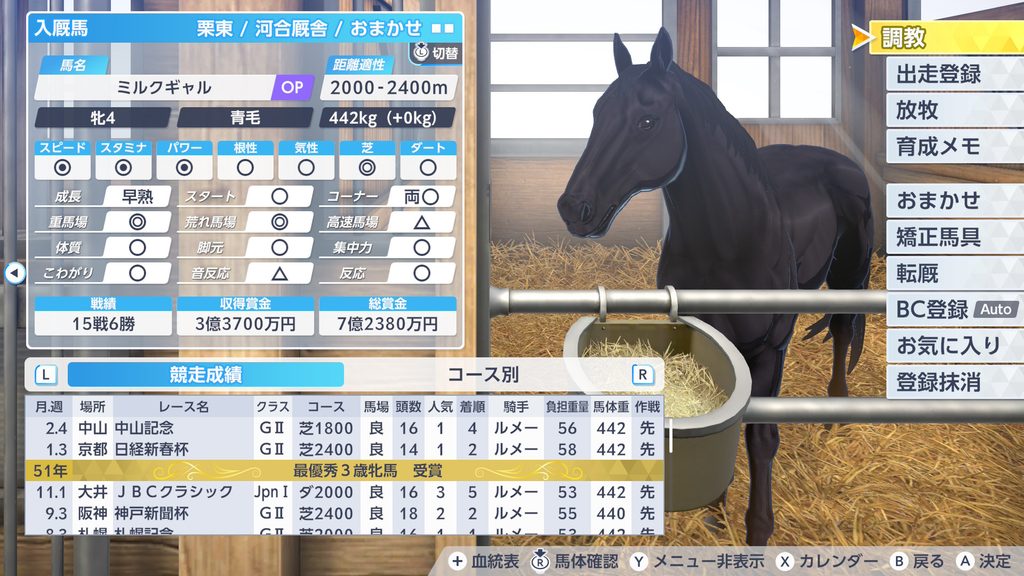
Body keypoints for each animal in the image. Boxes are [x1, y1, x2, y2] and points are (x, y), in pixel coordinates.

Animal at [557, 28, 874, 545]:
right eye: (597, 113)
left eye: (647, 121)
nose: (573, 208)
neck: (731, 238)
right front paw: (715, 509)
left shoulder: (770, 350)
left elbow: (761, 437)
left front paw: (758, 529)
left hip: (849, 273)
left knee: (844, 330)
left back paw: (835, 415)